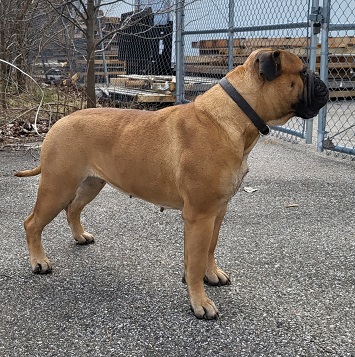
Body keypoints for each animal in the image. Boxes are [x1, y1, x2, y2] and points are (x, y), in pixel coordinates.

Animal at [16, 48, 328, 318]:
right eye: (303, 72)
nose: (325, 86)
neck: (235, 116)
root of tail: (58, 123)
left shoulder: (217, 211)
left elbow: (209, 249)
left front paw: (210, 275)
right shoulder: (199, 215)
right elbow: (196, 259)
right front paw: (200, 302)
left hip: (91, 184)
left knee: (73, 209)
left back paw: (80, 236)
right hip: (58, 186)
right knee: (32, 222)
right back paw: (39, 262)